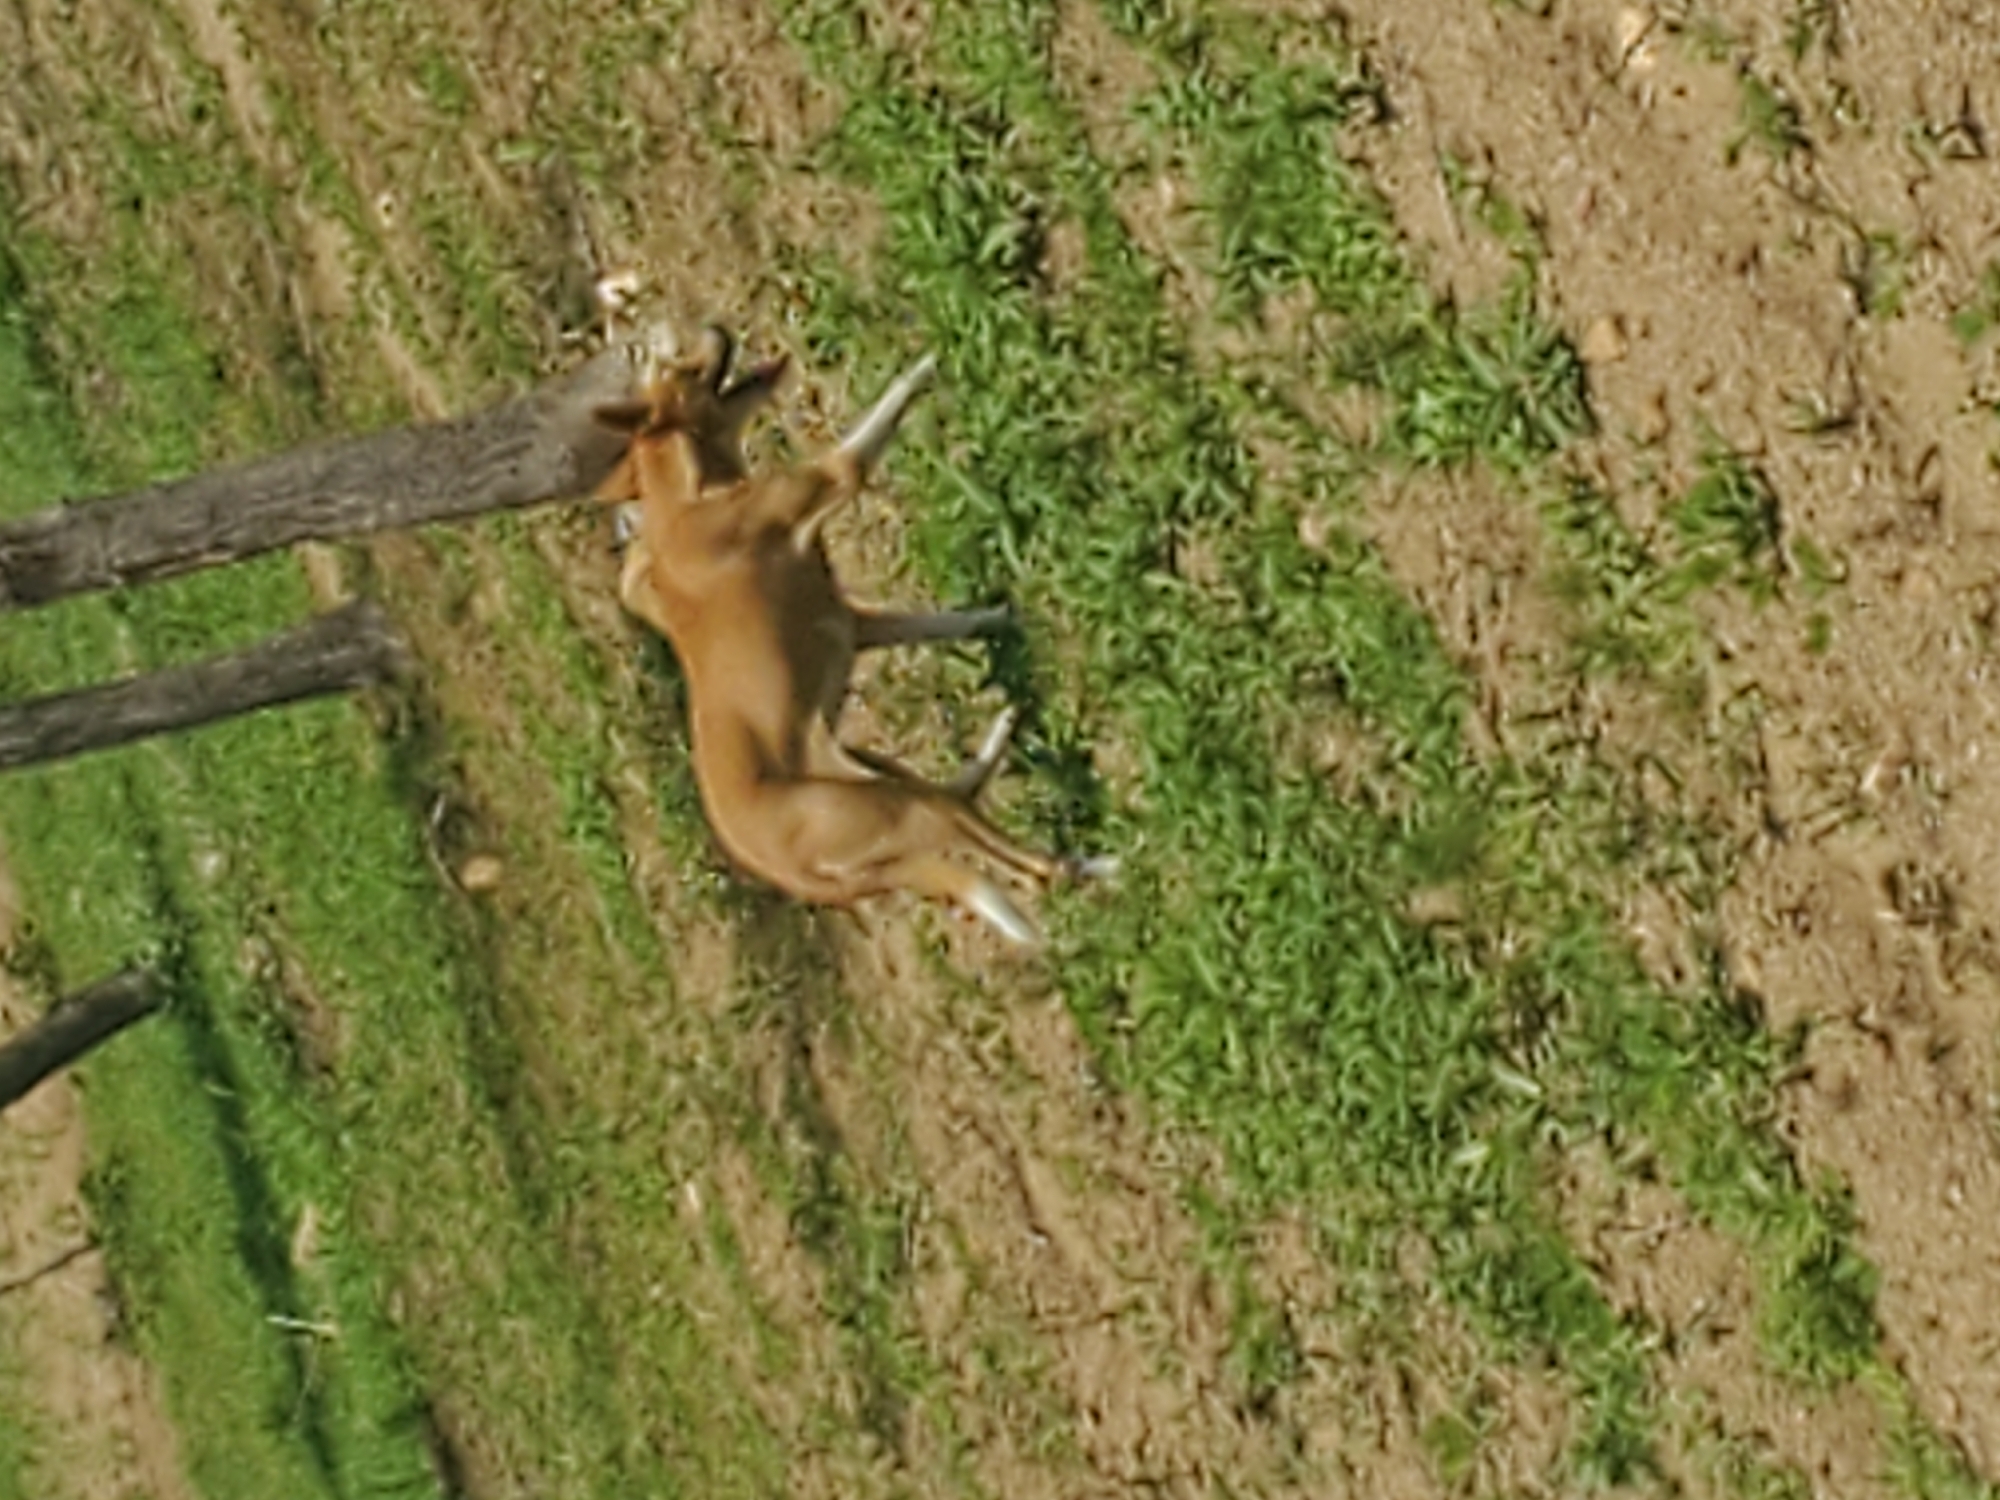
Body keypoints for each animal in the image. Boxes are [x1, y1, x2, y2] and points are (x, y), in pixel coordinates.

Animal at [594, 327, 1112, 945]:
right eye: (678, 366)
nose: (717, 329)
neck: (688, 497)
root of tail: (795, 877)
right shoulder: (837, 476)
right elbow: (887, 406)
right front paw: (927, 358)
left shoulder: (853, 622)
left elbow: (947, 621)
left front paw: (1002, 617)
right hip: (902, 810)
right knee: (1025, 867)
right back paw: (1095, 865)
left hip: (886, 780)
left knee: (959, 794)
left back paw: (1005, 734)